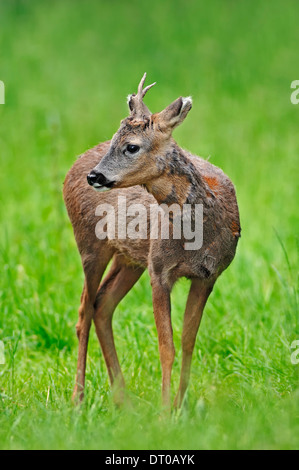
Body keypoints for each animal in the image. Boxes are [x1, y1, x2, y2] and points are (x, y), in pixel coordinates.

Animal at [63, 72, 241, 408]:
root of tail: (74, 166)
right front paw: (164, 411)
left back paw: (123, 401)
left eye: (131, 146)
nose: (95, 176)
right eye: (114, 139)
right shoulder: (159, 270)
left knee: (102, 304)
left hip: (130, 258)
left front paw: (180, 407)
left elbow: (188, 342)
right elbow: (166, 347)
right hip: (90, 243)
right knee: (83, 313)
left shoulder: (209, 275)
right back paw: (78, 400)